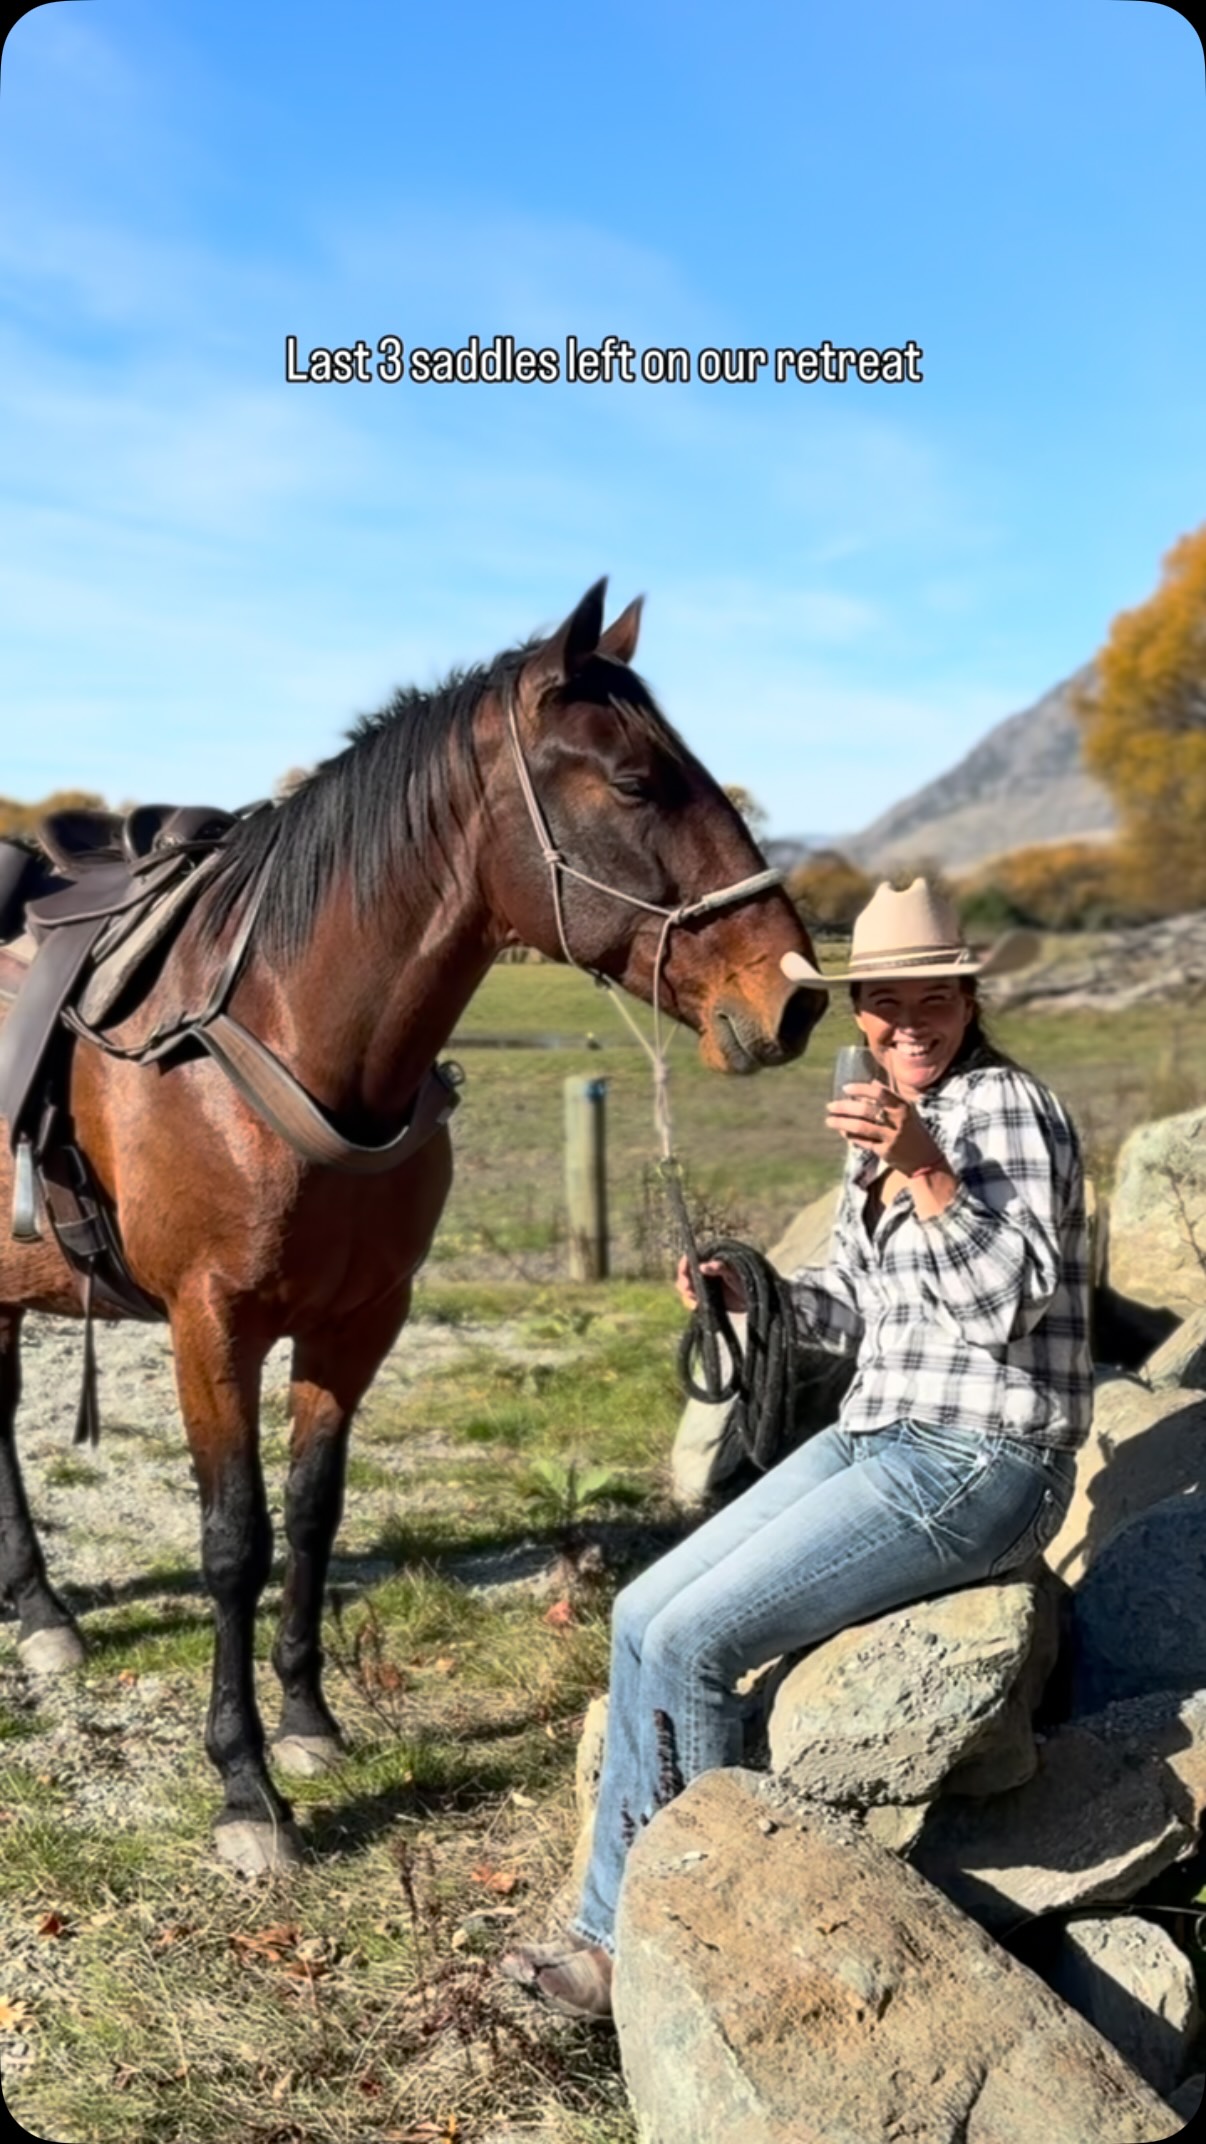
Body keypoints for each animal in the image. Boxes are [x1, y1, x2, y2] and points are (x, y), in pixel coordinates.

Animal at [0, 579, 827, 1872]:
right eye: (636, 781)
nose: (791, 994)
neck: (283, 1029)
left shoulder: (357, 1322)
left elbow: (312, 1516)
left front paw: (306, 1723)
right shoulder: (209, 1324)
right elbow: (234, 1540)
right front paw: (245, 1786)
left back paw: (36, 1608)